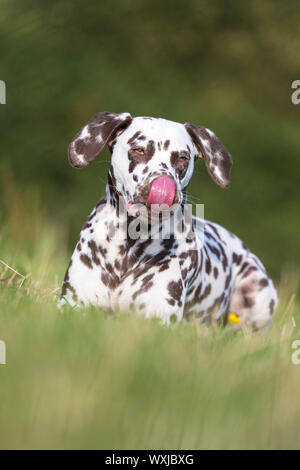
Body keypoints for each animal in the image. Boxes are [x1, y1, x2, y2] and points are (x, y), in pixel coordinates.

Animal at [59, 112, 278, 330]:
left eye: (182, 157)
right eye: (138, 149)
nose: (164, 184)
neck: (129, 250)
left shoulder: (160, 318)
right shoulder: (73, 304)